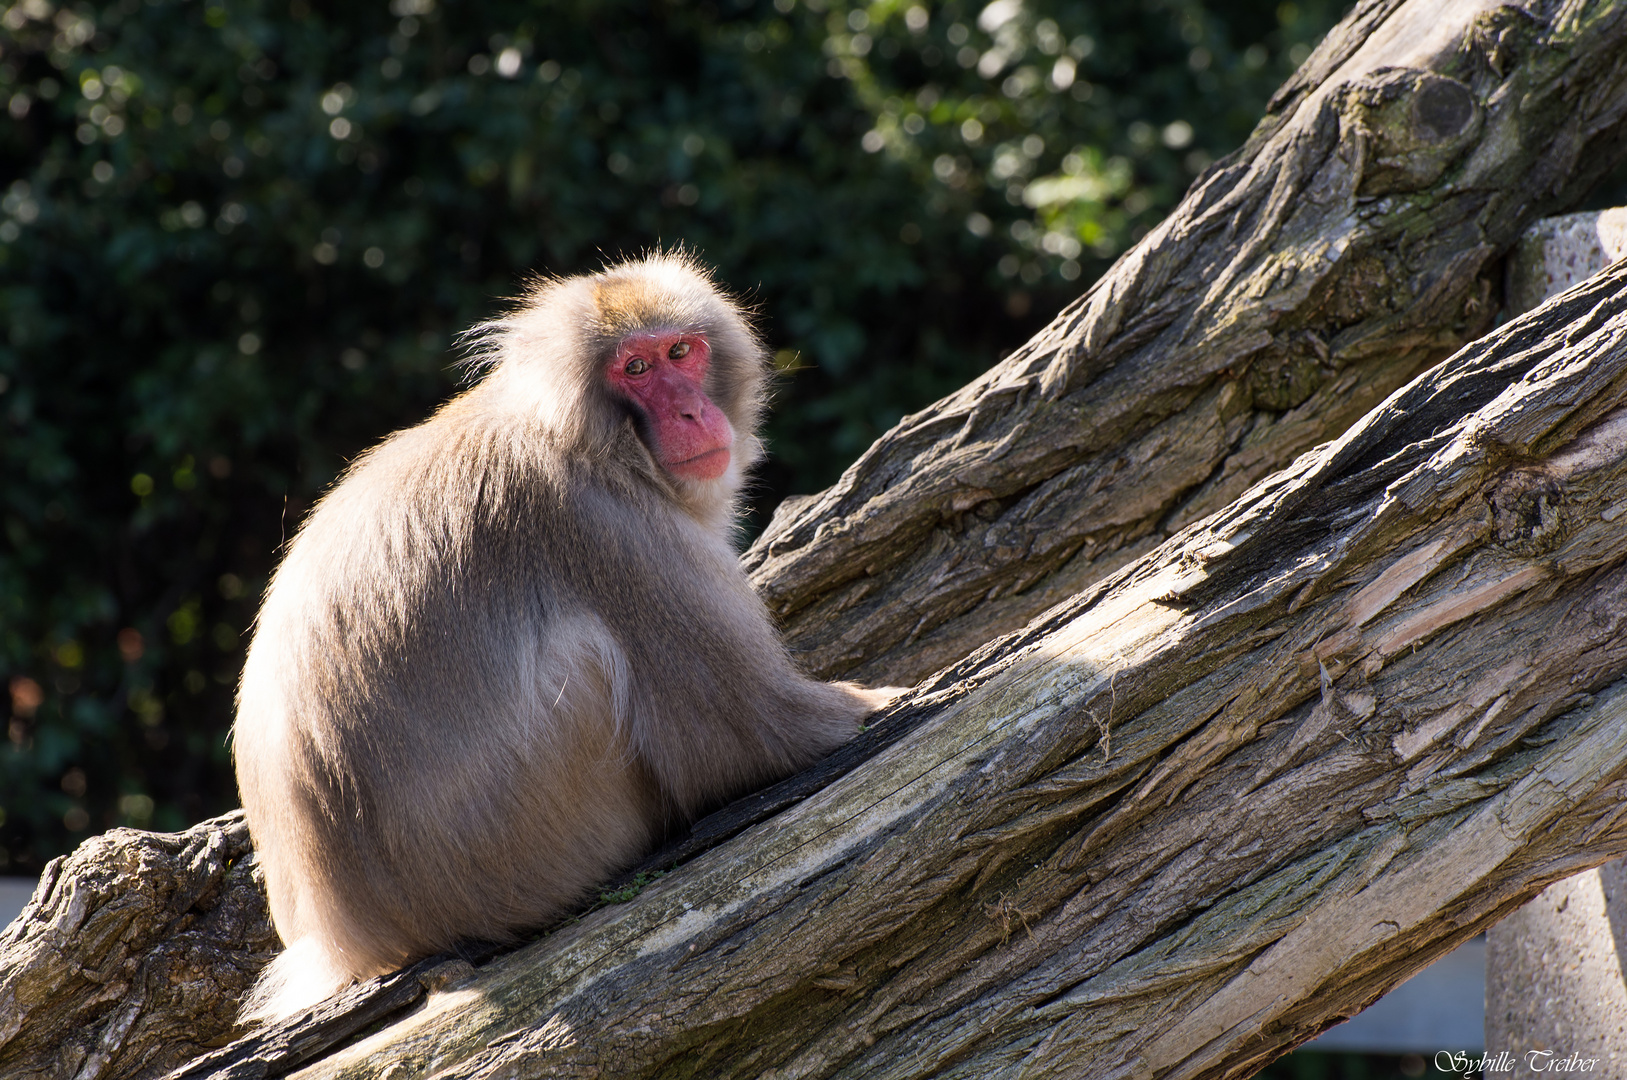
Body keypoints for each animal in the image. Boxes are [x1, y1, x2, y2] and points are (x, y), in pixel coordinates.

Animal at [232, 253, 891, 1021]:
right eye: (634, 369)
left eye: (680, 353)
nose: (691, 411)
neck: (593, 439)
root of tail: (349, 940)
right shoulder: (611, 530)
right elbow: (762, 734)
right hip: (532, 850)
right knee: (590, 655)